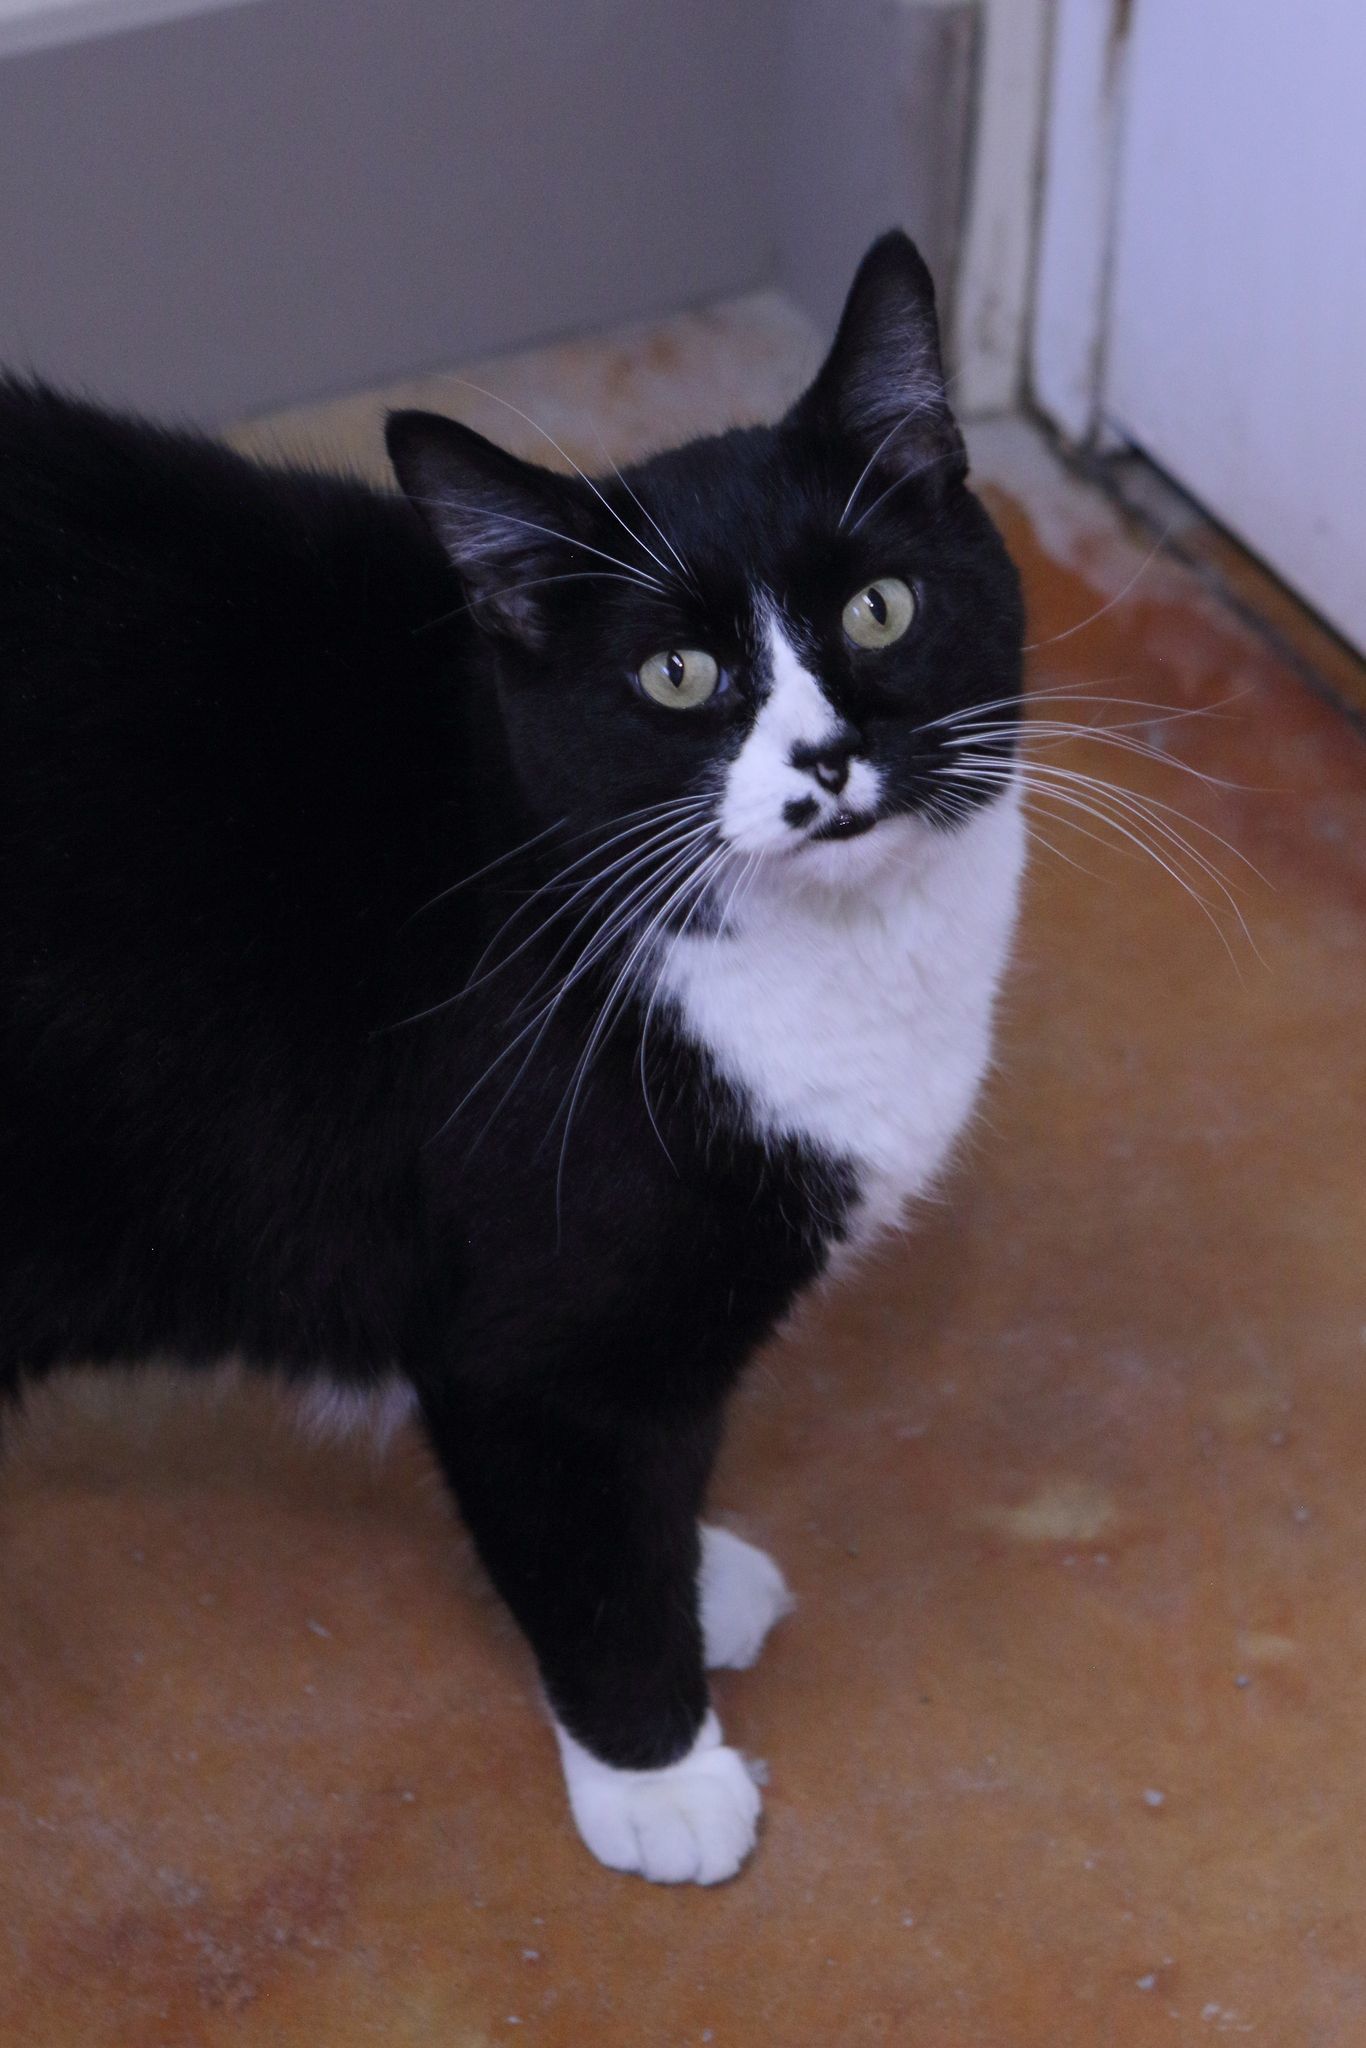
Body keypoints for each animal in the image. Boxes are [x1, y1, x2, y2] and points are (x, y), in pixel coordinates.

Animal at [0, 232, 1023, 1875]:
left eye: (879, 608)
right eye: (676, 675)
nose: (822, 760)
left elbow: (657, 1474)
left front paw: (698, 1577)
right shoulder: (534, 1322)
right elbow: (581, 1520)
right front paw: (660, 1772)